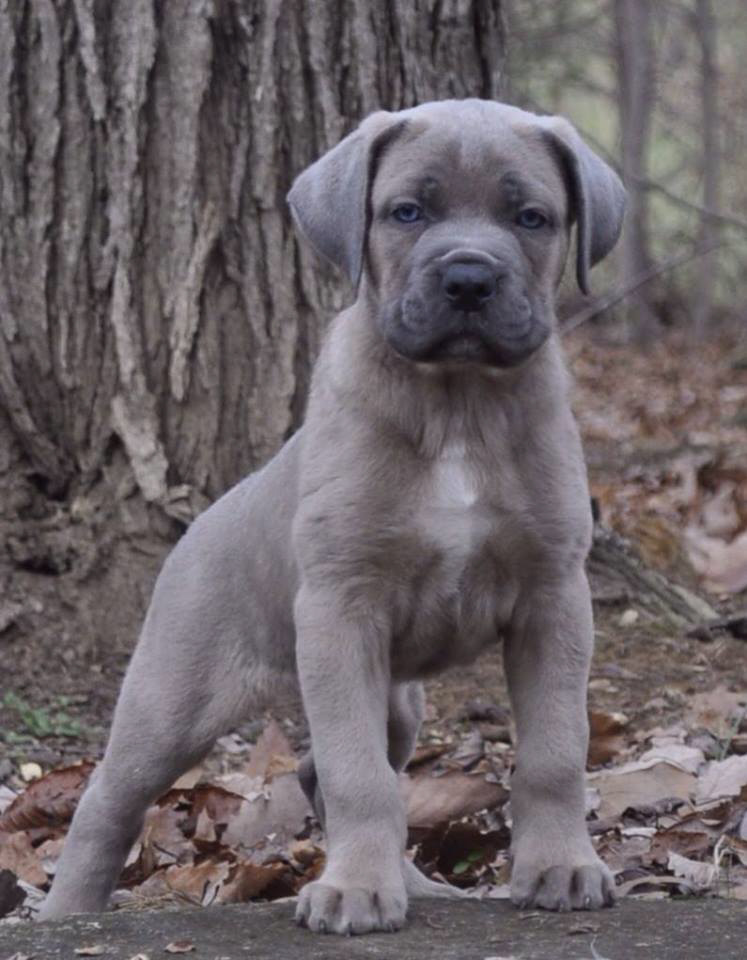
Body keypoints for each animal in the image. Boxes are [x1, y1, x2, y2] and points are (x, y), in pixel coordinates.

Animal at [41, 101, 624, 932]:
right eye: (406, 212)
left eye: (530, 218)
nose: (469, 277)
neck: (458, 404)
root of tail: (198, 524)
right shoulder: (340, 610)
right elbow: (359, 776)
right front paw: (352, 890)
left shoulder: (553, 601)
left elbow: (553, 752)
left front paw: (560, 868)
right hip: (171, 696)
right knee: (110, 797)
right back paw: (67, 912)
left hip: (397, 699)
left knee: (326, 768)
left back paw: (414, 884)